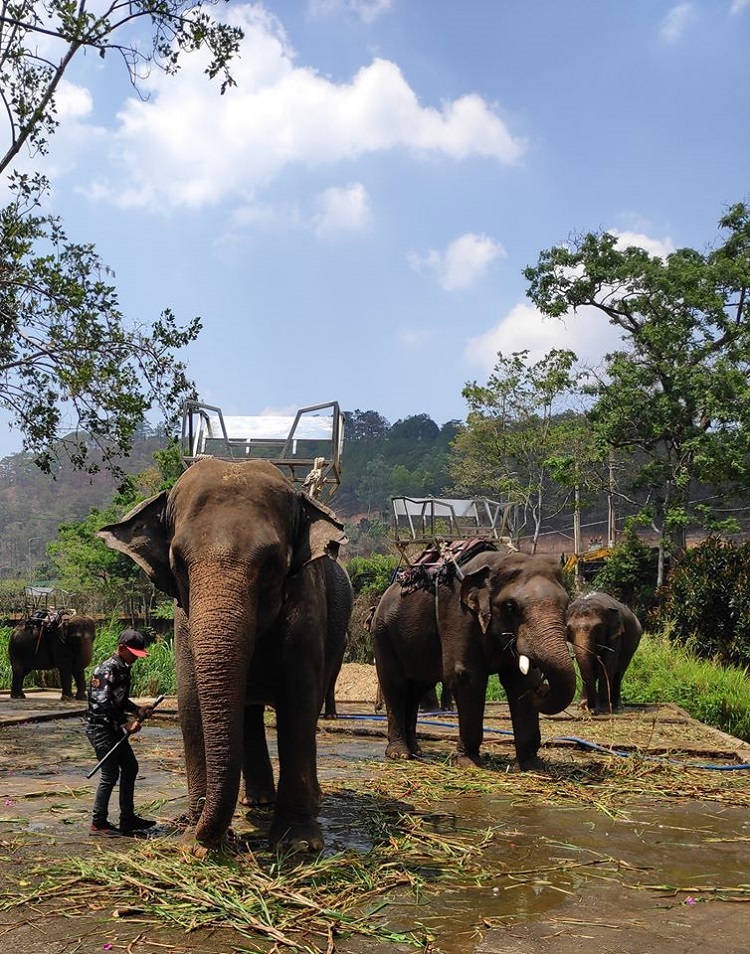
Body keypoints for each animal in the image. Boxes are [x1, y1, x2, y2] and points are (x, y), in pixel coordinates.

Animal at [97, 458, 352, 852]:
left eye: (272, 563)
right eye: (178, 562)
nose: (196, 837)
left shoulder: (307, 606)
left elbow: (298, 703)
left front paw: (298, 844)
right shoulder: (183, 620)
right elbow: (191, 704)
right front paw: (194, 834)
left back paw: (308, 801)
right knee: (248, 712)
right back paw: (257, 801)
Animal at [374, 548, 576, 768]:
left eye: (567, 604)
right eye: (510, 606)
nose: (542, 689)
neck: (497, 562)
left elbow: (520, 681)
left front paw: (532, 766)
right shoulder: (459, 615)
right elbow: (466, 676)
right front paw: (468, 762)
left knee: (416, 690)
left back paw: (417, 752)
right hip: (383, 635)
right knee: (396, 687)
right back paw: (399, 754)